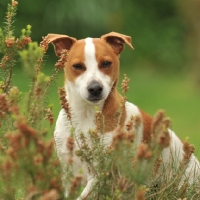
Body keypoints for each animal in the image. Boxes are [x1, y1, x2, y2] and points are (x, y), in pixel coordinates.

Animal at [47, 32, 200, 199]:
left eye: (106, 63)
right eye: (77, 66)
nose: (95, 88)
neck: (85, 116)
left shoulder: (101, 174)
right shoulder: (67, 171)